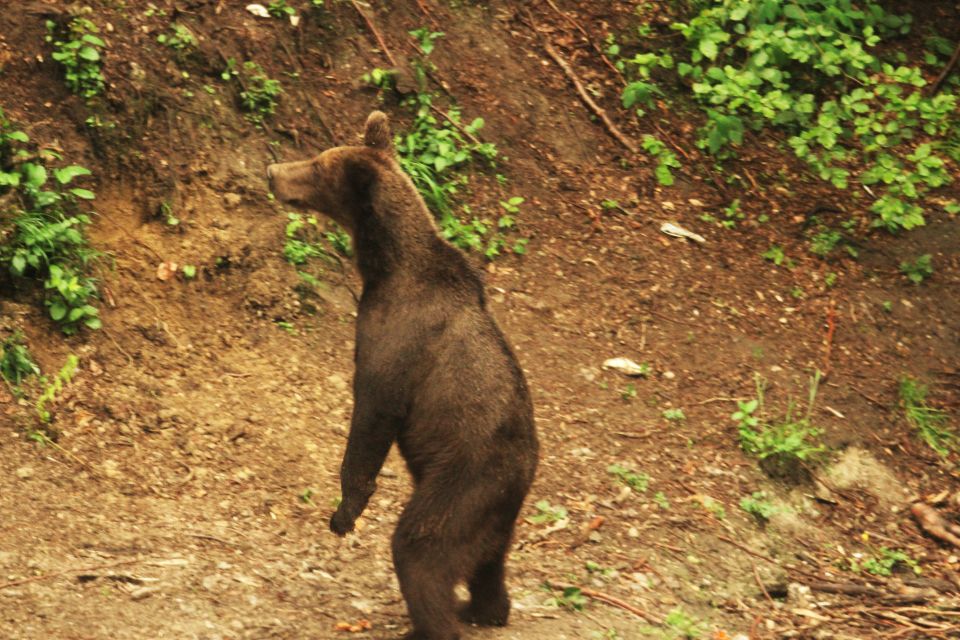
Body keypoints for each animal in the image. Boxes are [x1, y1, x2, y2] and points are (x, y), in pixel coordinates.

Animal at [266, 111, 540, 640]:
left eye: (316, 165)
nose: (272, 171)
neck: (385, 264)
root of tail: (522, 478)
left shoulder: (396, 339)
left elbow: (373, 413)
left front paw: (343, 512)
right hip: (494, 514)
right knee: (489, 562)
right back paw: (485, 608)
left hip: (465, 479)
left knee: (421, 547)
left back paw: (431, 623)